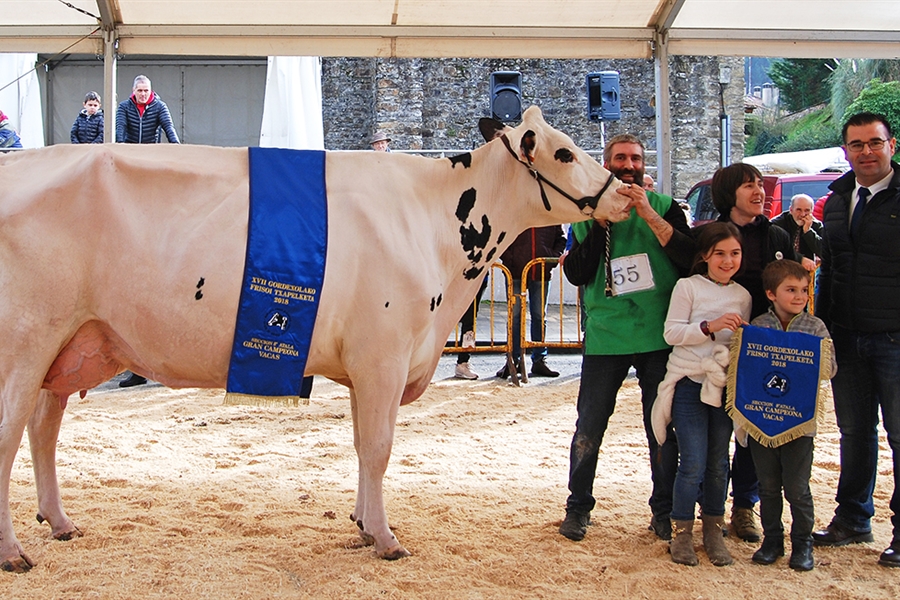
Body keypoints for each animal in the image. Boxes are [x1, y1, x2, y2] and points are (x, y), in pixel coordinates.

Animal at [0, 108, 624, 572]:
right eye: (564, 153)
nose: (623, 192)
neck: (434, 224)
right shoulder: (383, 357)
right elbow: (379, 447)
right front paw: (386, 538)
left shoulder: (365, 365)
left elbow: (362, 446)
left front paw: (362, 523)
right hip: (25, 344)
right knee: (11, 437)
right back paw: (14, 553)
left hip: (69, 346)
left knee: (43, 429)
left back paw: (59, 522)